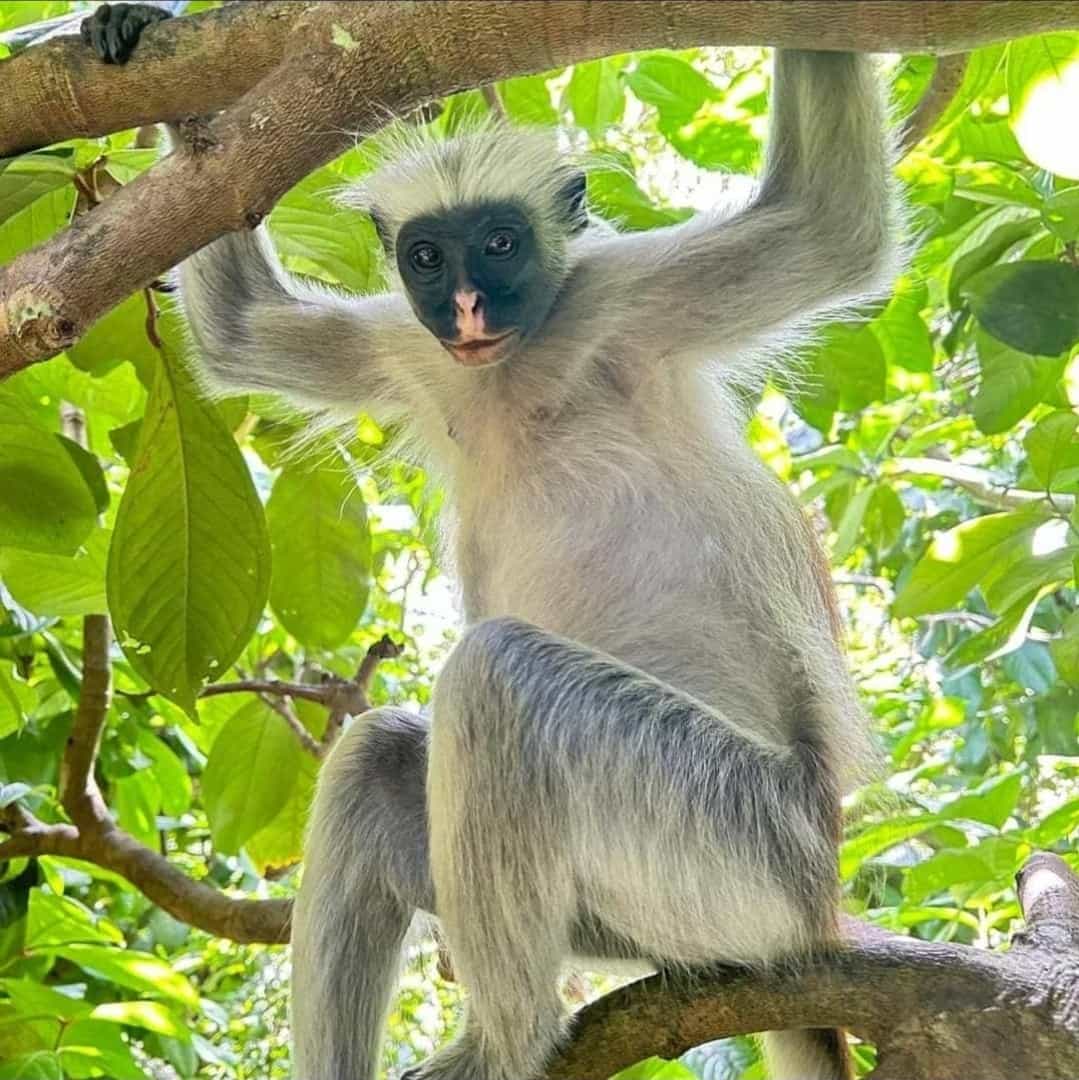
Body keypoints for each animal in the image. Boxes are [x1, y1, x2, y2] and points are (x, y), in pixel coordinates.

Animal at [168, 49, 900, 1080]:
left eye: (502, 244)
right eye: (428, 257)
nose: (468, 306)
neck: (513, 369)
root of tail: (815, 906)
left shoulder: (623, 299)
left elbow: (830, 221)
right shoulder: (411, 348)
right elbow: (237, 327)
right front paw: (142, 48)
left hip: (742, 845)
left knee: (497, 676)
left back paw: (504, 1044)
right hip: (627, 914)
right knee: (381, 751)